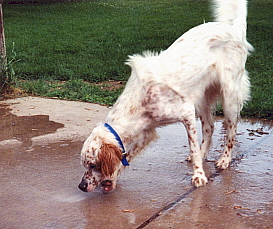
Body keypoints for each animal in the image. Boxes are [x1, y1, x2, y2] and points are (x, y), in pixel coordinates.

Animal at [78, 0, 253, 193]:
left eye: (93, 165)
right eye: (85, 165)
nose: (81, 186)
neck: (137, 103)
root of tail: (232, 29)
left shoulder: (186, 112)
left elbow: (193, 148)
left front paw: (199, 176)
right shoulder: (145, 132)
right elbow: (126, 157)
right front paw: (112, 179)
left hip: (229, 97)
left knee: (231, 130)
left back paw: (225, 159)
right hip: (202, 99)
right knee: (210, 126)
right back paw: (204, 153)